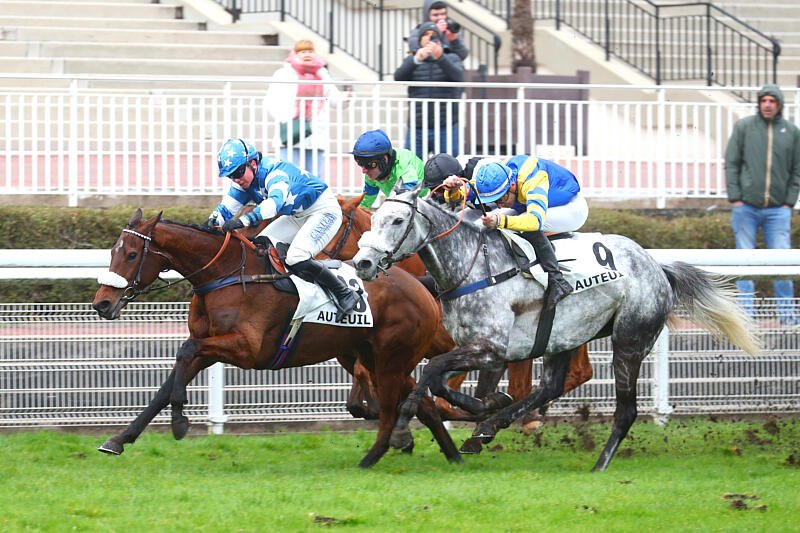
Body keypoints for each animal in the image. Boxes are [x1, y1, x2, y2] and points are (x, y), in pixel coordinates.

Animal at [91, 208, 462, 468]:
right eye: (112, 251)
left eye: (132, 254)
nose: (102, 304)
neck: (226, 274)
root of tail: (421, 286)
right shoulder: (213, 347)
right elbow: (166, 386)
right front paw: (119, 438)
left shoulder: (246, 349)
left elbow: (185, 351)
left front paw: (181, 420)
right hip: (375, 357)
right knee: (425, 406)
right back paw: (453, 456)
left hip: (390, 359)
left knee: (394, 408)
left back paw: (378, 456)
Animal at [353, 188, 760, 471]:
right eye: (372, 220)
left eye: (397, 221)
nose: (363, 263)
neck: (475, 269)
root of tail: (656, 266)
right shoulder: (476, 348)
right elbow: (437, 380)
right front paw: (484, 406)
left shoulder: (491, 349)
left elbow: (433, 372)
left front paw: (403, 429)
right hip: (564, 336)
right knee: (549, 386)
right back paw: (489, 427)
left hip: (629, 341)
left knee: (625, 411)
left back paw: (599, 464)